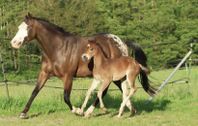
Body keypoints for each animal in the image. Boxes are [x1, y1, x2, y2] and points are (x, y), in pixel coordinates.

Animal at [10, 13, 148, 118]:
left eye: (28, 28)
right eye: (19, 27)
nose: (14, 43)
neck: (58, 48)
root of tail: (121, 42)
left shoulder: (68, 76)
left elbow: (66, 97)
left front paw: (77, 110)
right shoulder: (44, 74)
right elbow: (35, 91)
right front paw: (23, 113)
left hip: (111, 75)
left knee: (105, 92)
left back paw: (88, 111)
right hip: (117, 76)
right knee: (122, 90)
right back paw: (130, 109)